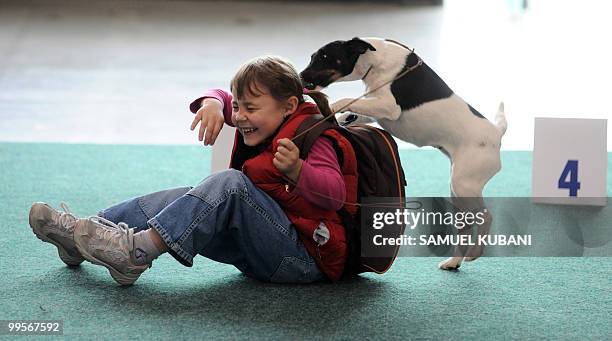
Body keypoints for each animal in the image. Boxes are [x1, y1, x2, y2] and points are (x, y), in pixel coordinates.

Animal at [300, 37, 506, 270]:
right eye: (313, 57)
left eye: (324, 57)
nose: (301, 76)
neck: (376, 60)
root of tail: (496, 135)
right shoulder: (375, 110)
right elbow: (354, 112)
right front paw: (341, 118)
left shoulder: (389, 107)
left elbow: (345, 100)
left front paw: (329, 106)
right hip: (458, 189)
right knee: (467, 224)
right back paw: (453, 262)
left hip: (464, 185)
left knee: (486, 217)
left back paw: (475, 253)